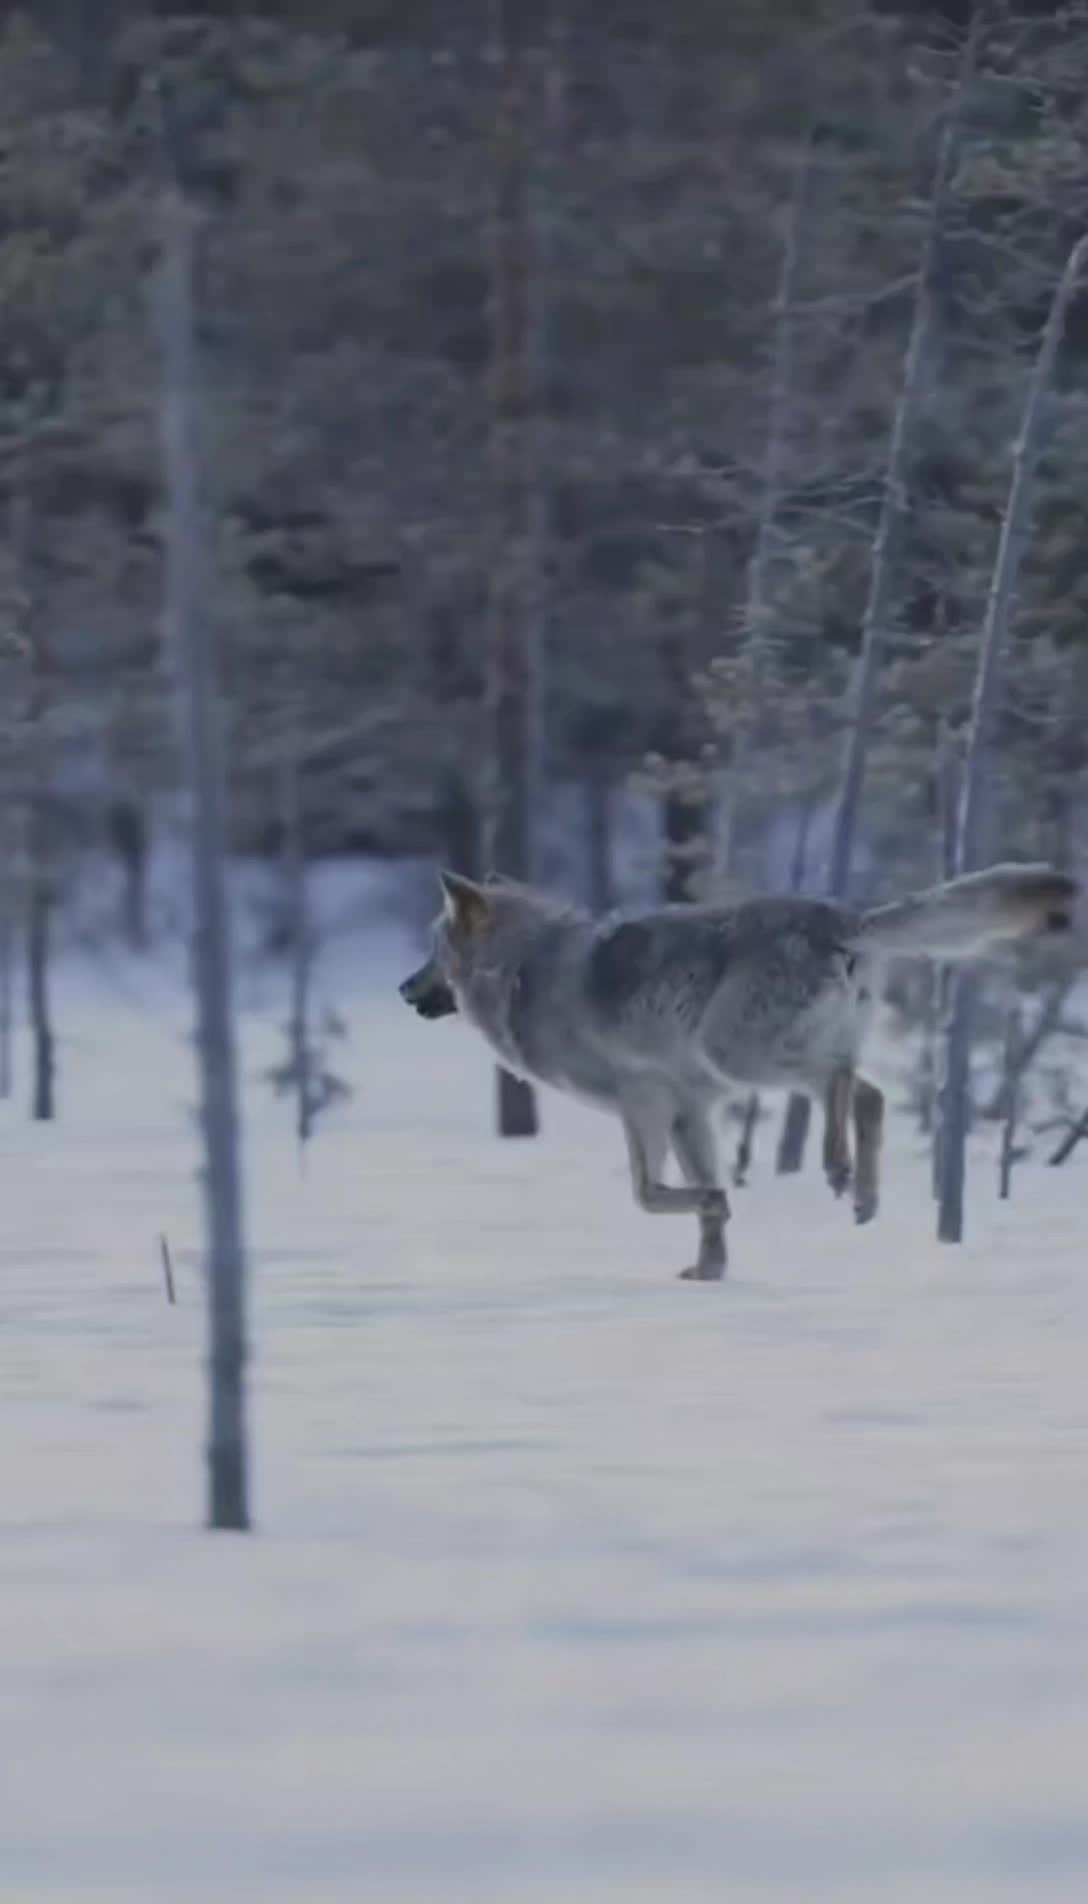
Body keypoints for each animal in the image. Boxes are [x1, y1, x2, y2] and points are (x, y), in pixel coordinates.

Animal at [400, 863, 1076, 1281]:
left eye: (431, 948)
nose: (403, 988)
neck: (523, 971)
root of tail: (842, 920)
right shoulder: (690, 1111)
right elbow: (698, 1202)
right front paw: (710, 1268)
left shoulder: (643, 1100)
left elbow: (649, 1193)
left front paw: (713, 1210)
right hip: (752, 1060)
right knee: (871, 1095)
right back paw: (862, 1195)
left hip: (736, 1053)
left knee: (839, 1080)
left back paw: (838, 1168)